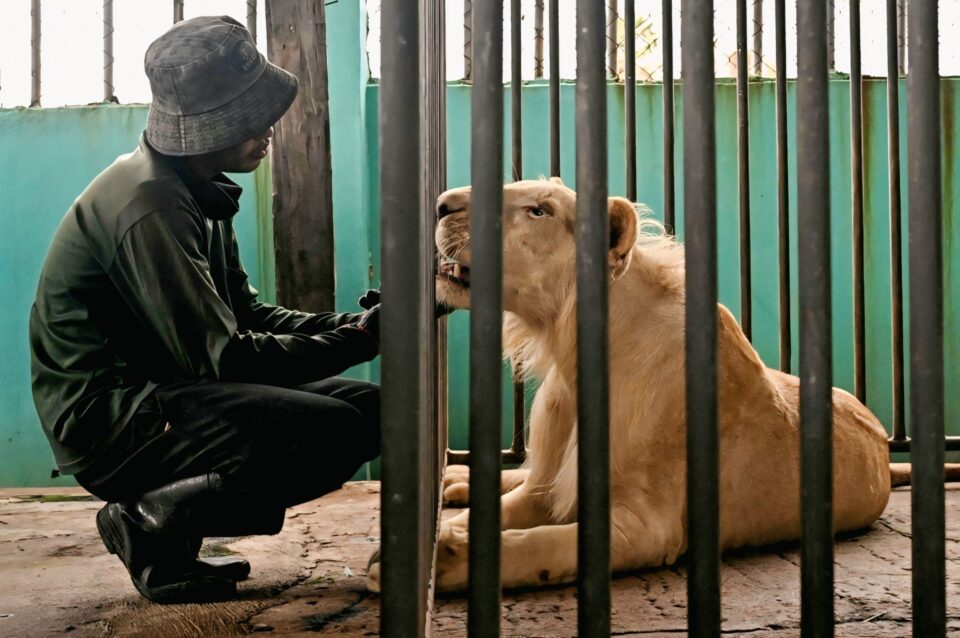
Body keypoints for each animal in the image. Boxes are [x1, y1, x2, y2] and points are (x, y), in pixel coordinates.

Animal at [366, 177, 954, 593]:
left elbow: (541, 546)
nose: (441, 203)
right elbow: (506, 509)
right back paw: (455, 481)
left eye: (540, 211)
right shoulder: (547, 487)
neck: (575, 359)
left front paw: (447, 557)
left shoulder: (647, 527)